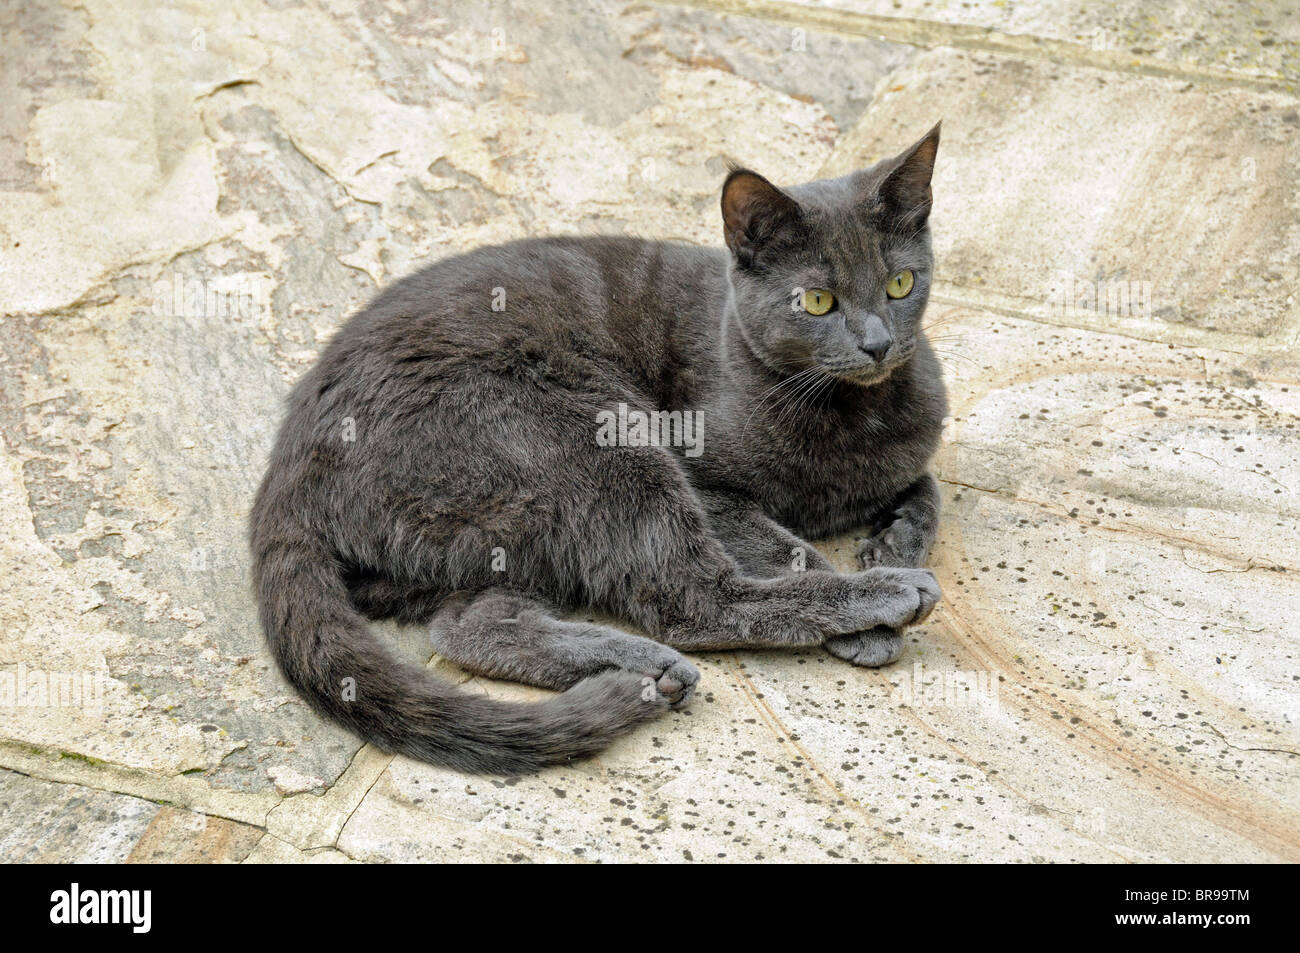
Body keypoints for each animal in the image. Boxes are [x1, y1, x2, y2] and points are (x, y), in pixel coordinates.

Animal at [250, 122, 946, 774]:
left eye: (900, 283)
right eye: (818, 301)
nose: (879, 343)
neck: (855, 418)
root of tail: (286, 470)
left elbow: (926, 488)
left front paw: (891, 542)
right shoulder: (710, 487)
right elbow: (788, 550)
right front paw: (873, 604)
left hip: (486, 545)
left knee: (470, 628)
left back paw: (637, 667)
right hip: (592, 433)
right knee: (693, 601)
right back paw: (883, 596)